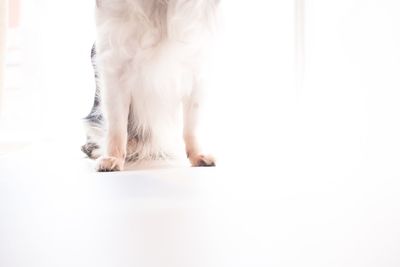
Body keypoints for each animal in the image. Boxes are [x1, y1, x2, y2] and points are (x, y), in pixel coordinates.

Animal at [81, 0, 219, 172]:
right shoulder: (115, 67)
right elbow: (117, 127)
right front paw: (113, 157)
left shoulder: (196, 69)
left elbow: (192, 125)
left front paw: (197, 155)